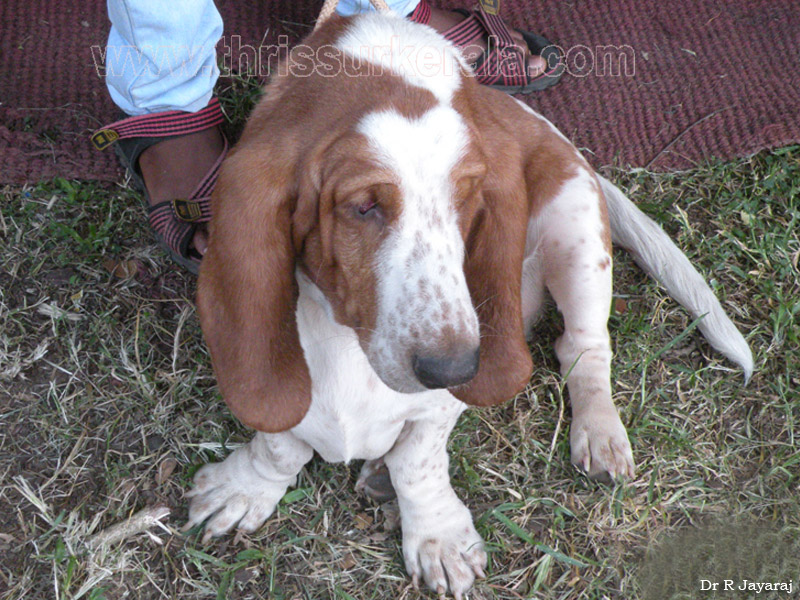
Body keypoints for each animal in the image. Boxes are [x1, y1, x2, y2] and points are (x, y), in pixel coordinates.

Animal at [184, 11, 752, 596]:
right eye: (363, 207)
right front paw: (246, 486)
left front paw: (436, 536)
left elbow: (419, 459)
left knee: (583, 347)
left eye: (468, 200)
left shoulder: (442, 402)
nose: (455, 368)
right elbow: (281, 440)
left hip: (575, 230)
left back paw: (599, 433)